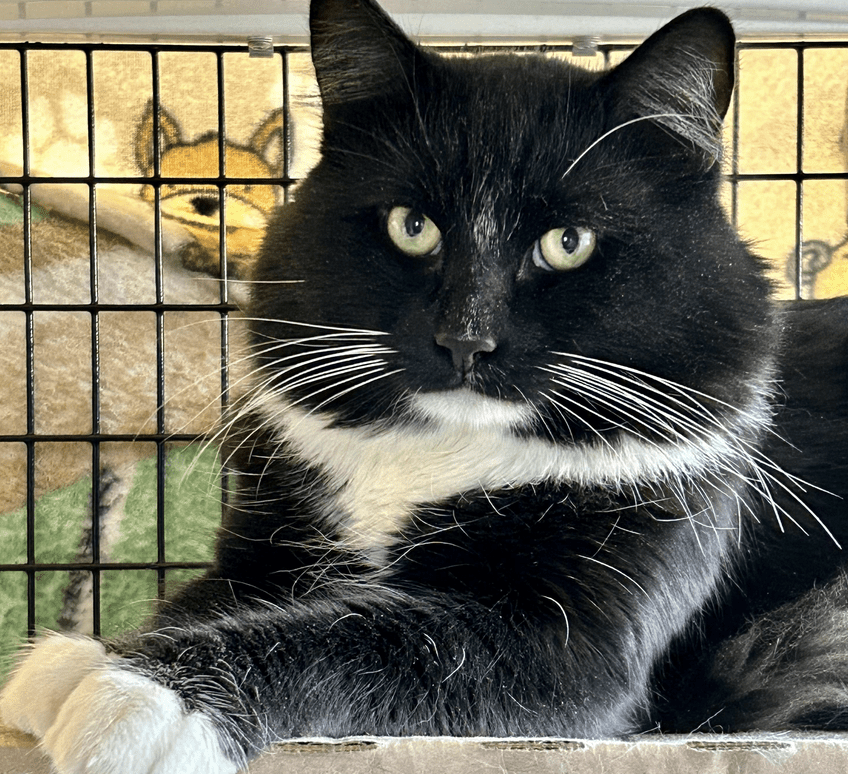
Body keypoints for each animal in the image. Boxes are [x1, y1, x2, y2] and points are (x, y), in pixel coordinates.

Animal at [1, 1, 848, 774]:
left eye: (567, 242)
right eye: (413, 227)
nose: (464, 339)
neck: (437, 448)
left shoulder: (572, 633)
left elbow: (367, 632)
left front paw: (147, 693)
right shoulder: (269, 542)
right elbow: (212, 594)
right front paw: (89, 655)